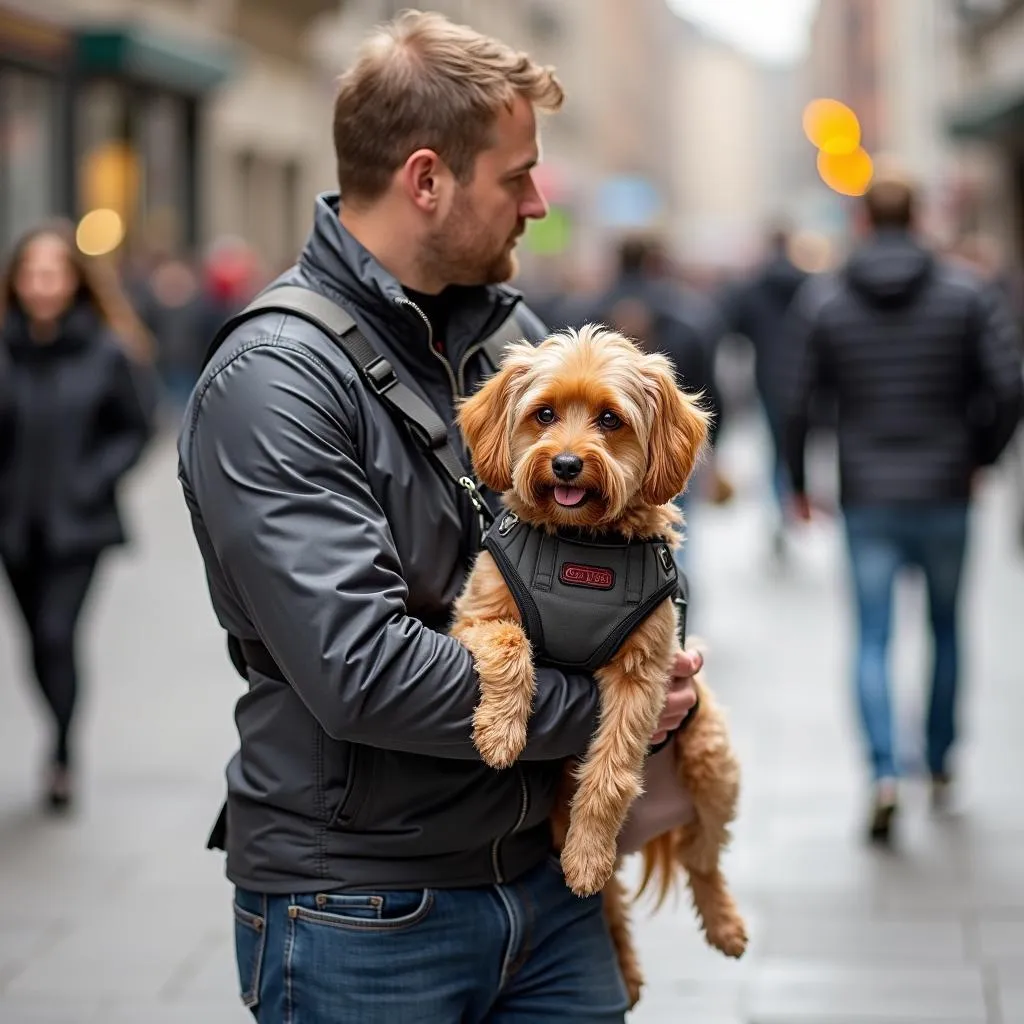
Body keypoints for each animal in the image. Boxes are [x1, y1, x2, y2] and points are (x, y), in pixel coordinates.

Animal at [452, 329, 749, 999]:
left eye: (610, 420)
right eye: (543, 415)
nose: (565, 463)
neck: (581, 544)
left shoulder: (645, 677)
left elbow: (610, 776)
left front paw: (588, 854)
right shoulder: (475, 617)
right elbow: (510, 647)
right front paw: (501, 734)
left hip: (711, 761)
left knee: (700, 860)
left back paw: (721, 922)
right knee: (614, 898)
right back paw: (627, 966)